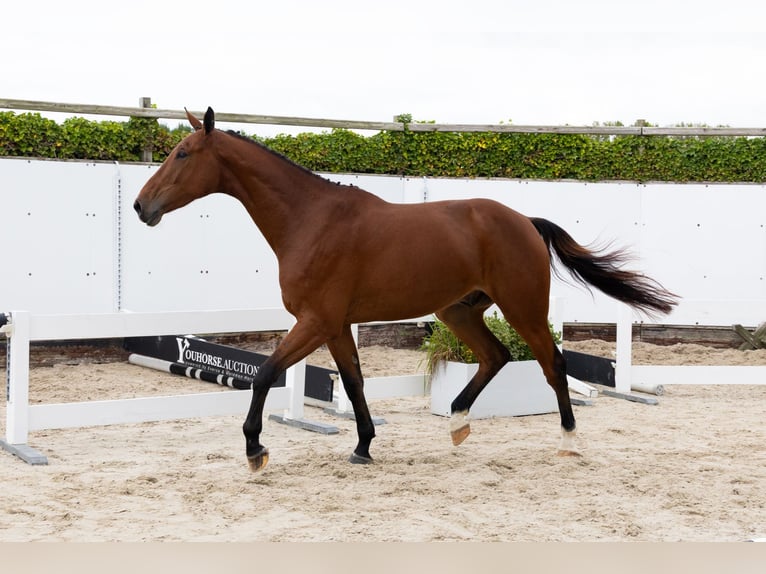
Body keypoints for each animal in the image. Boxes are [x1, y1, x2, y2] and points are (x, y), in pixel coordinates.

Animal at [134, 107, 678, 472]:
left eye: (183, 154)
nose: (142, 206)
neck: (311, 220)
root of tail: (524, 220)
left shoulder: (315, 321)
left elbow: (266, 374)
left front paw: (255, 449)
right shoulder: (335, 326)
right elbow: (353, 383)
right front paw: (362, 447)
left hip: (521, 307)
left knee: (553, 363)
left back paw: (567, 441)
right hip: (459, 312)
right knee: (496, 356)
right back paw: (457, 423)